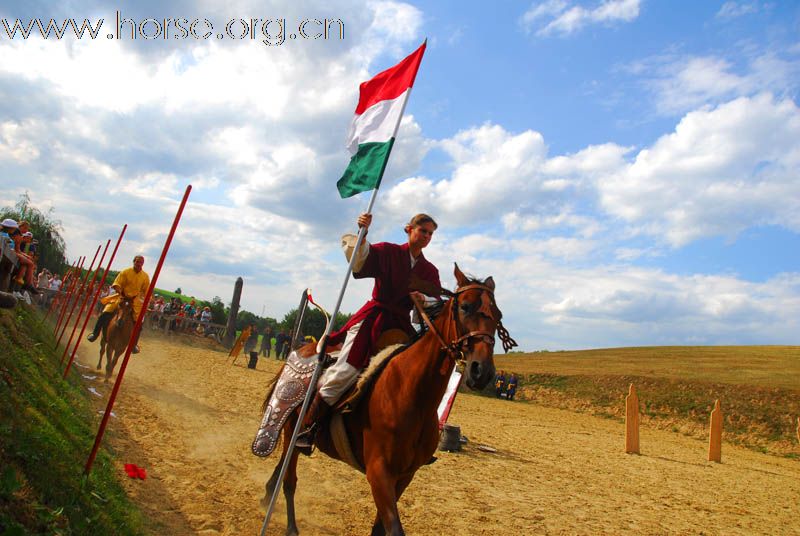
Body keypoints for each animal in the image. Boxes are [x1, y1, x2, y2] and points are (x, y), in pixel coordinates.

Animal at [260, 264, 516, 536]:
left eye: (498, 314)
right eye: (465, 307)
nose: (482, 372)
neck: (410, 394)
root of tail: (305, 350)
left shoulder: (404, 476)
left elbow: (380, 529)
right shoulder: (379, 473)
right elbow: (393, 528)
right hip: (291, 429)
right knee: (289, 479)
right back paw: (290, 525)